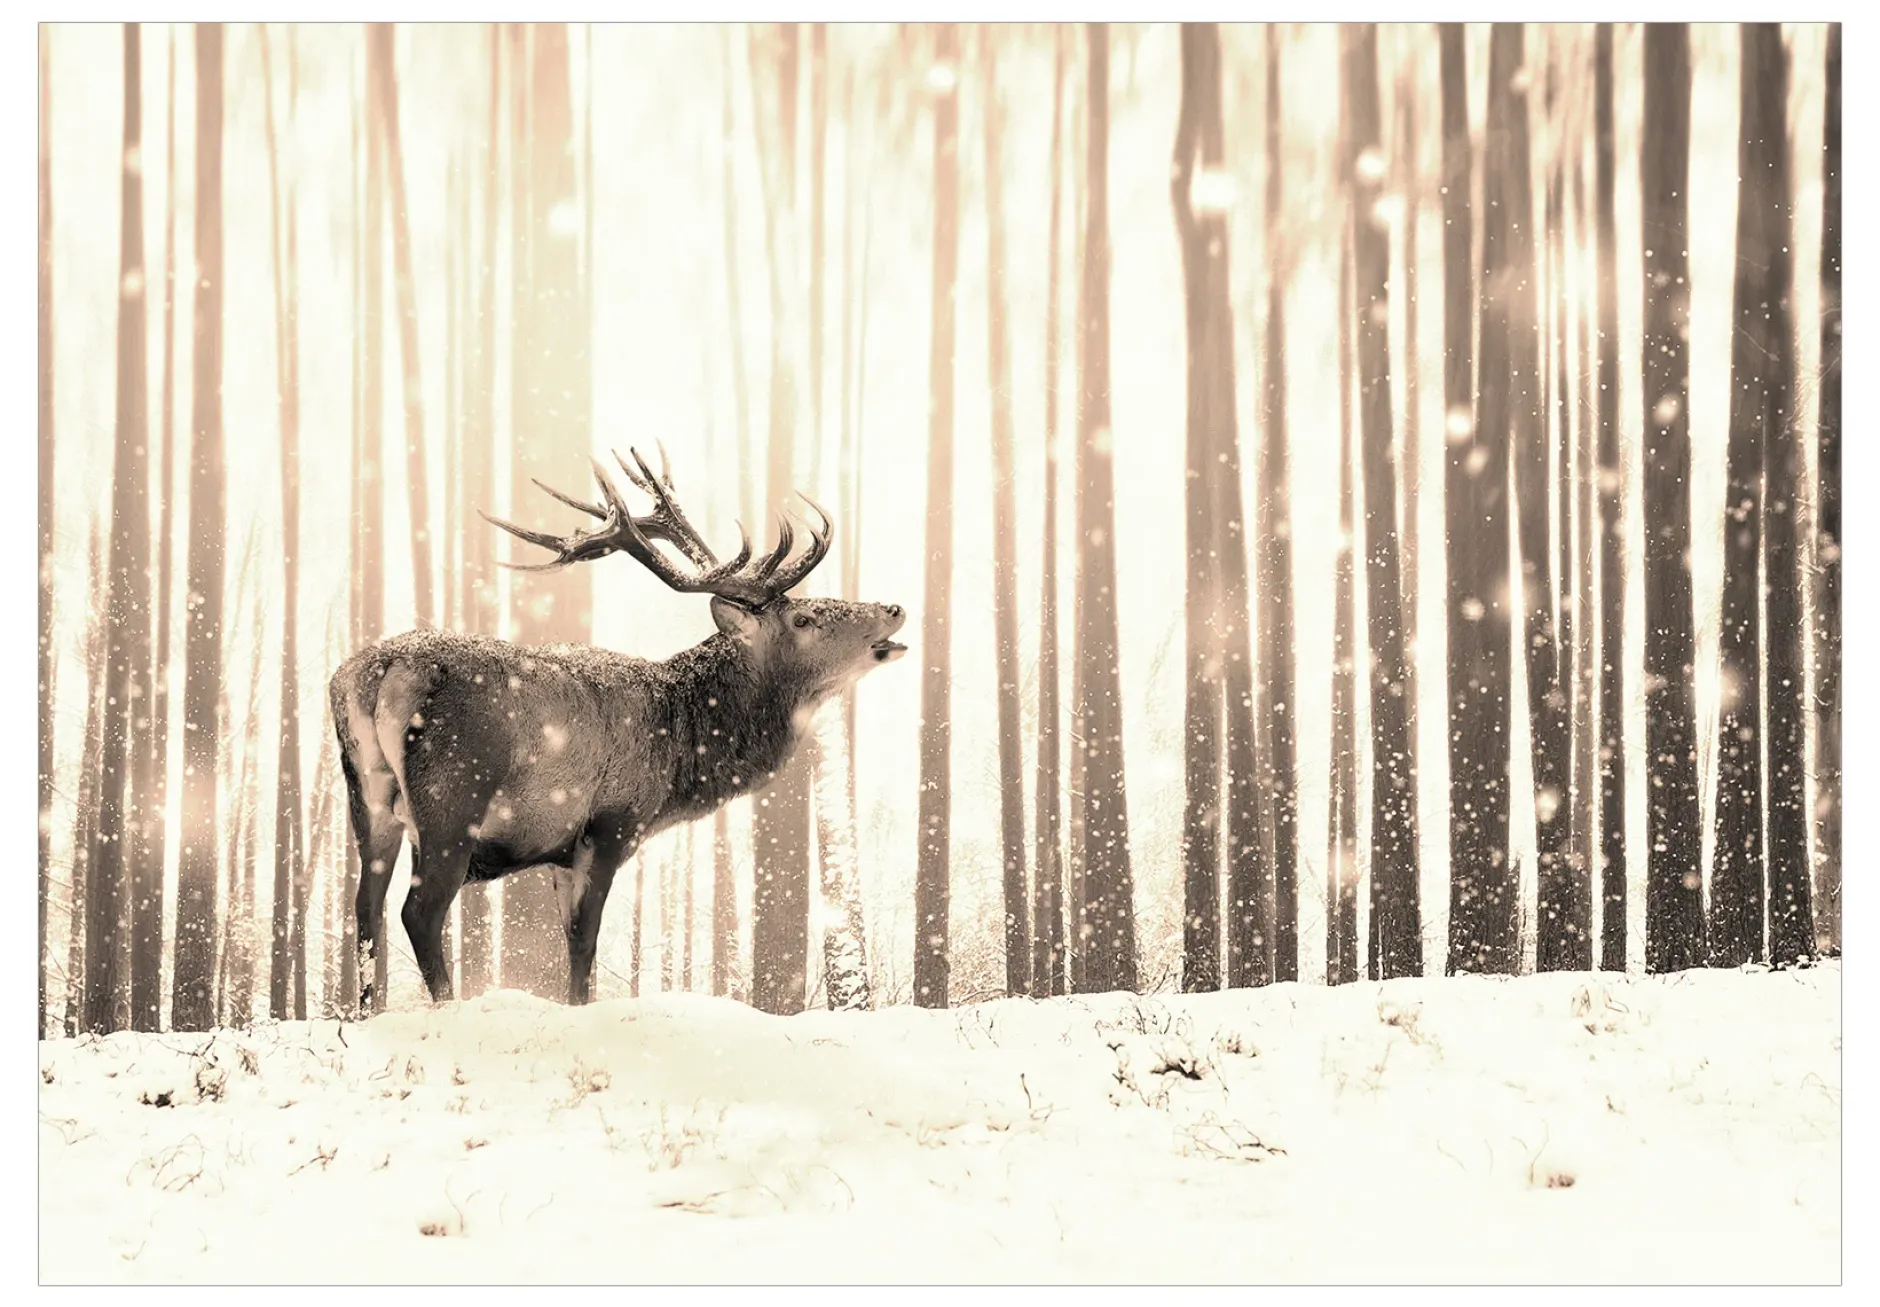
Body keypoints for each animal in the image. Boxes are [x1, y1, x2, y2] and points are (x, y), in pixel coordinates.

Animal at [328, 448, 906, 1013]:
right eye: (803, 619)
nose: (894, 608)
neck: (678, 752)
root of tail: (379, 672)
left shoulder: (560, 851)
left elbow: (570, 942)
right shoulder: (611, 822)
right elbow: (586, 941)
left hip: (368, 797)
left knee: (365, 909)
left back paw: (366, 1013)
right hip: (453, 796)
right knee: (419, 911)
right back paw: (447, 1008)